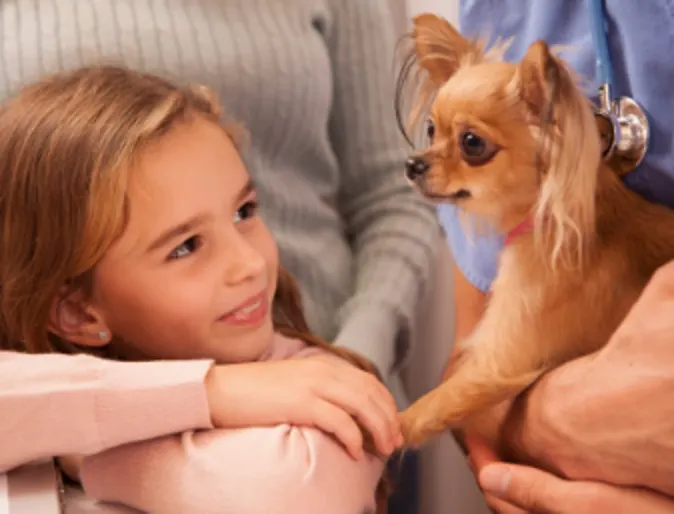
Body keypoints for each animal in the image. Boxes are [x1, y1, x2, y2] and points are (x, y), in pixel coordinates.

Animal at [396, 13, 672, 448]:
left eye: (472, 143)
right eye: (429, 130)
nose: (412, 164)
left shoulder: (497, 364)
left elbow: (429, 407)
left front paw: (381, 424)